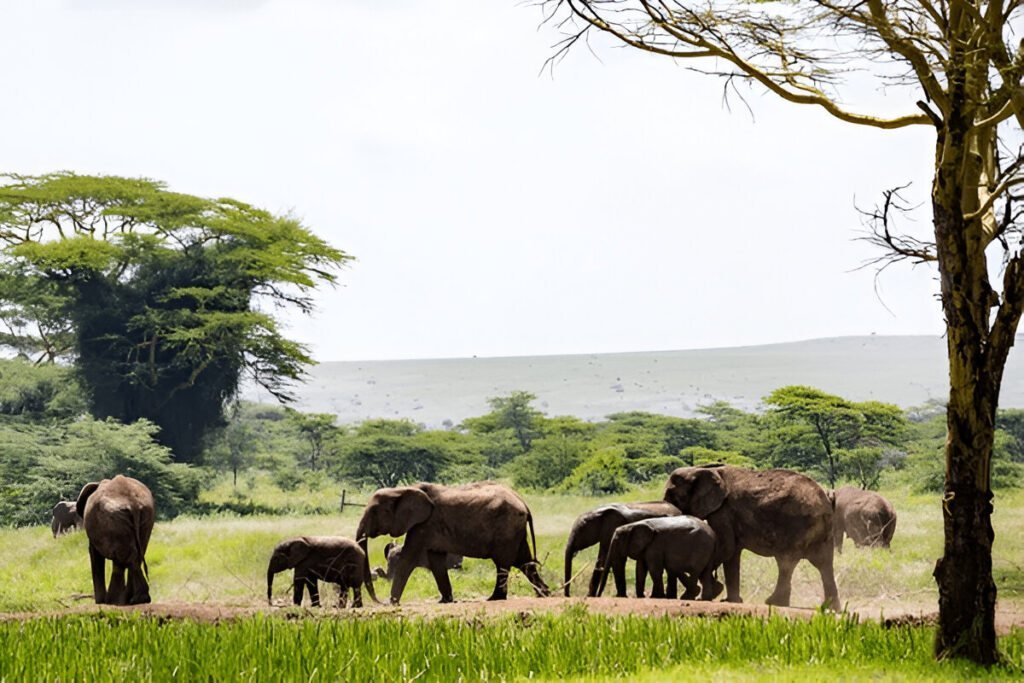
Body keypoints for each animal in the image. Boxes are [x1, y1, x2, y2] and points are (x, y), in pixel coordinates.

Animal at [76, 475, 155, 605]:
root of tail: (133, 503)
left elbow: (94, 554)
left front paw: (100, 602)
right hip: (146, 517)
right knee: (135, 554)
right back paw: (134, 600)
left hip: (113, 521)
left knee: (123, 557)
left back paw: (117, 601)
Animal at [356, 480, 550, 604]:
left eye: (374, 511)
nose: (379, 602)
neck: (402, 490)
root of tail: (523, 502)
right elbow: (436, 561)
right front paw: (445, 601)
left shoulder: (424, 524)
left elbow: (407, 559)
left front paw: (392, 603)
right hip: (514, 530)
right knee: (524, 561)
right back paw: (544, 593)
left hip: (506, 527)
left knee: (503, 562)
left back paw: (495, 598)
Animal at [663, 464, 839, 610]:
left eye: (673, 495)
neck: (701, 469)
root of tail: (826, 499)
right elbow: (732, 554)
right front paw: (729, 600)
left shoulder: (723, 511)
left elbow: (726, 548)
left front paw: (710, 593)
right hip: (823, 531)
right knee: (824, 564)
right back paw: (830, 608)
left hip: (797, 525)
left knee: (786, 562)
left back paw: (774, 603)